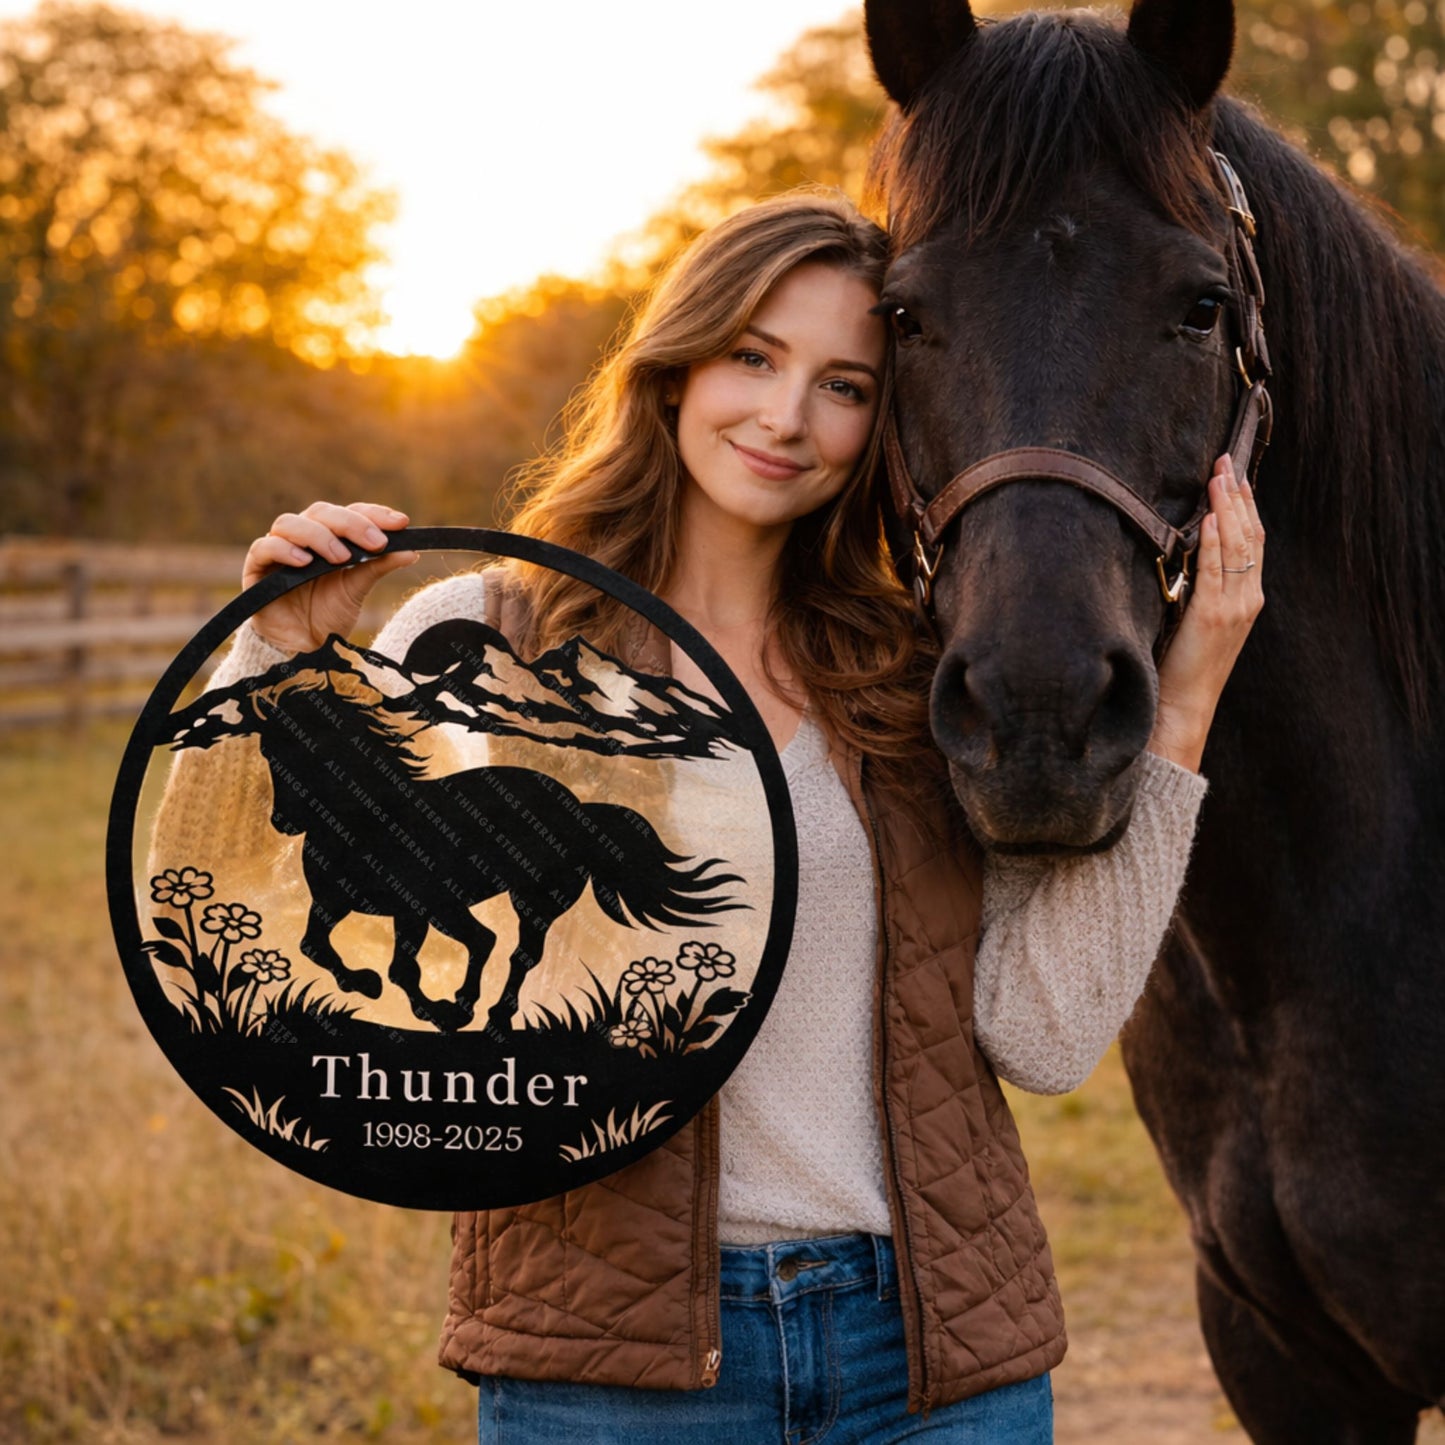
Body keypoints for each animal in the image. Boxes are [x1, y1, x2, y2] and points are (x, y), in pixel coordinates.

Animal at [169, 662, 741, 1034]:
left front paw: (447, 1011)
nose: (282, 823)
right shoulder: (345, 905)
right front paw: (367, 986)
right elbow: (322, 947)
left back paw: (490, 1013)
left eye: (315, 751)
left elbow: (447, 955)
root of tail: (581, 809)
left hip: (533, 901)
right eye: (268, 751)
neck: (367, 827)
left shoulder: (428, 908)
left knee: (516, 951)